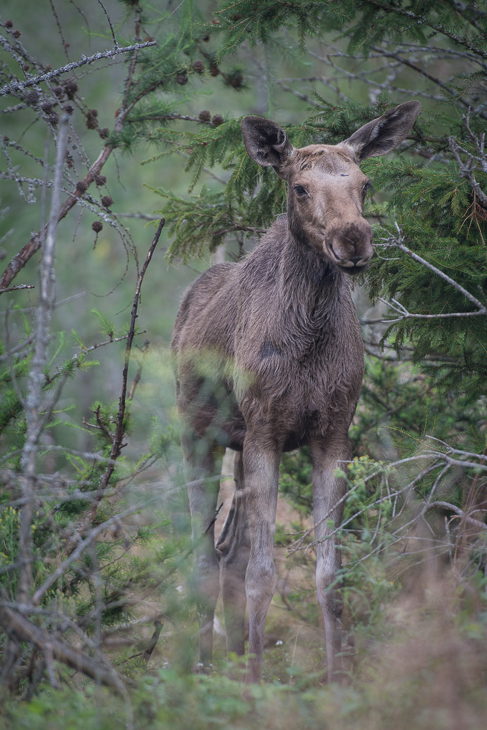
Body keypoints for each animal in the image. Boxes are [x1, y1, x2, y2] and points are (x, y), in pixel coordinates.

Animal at [172, 99, 420, 680]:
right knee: (205, 558)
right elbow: (264, 574)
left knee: (229, 553)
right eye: (301, 187)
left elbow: (329, 574)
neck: (308, 334)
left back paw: (231, 661)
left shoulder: (332, 434)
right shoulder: (266, 431)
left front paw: (338, 681)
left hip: (237, 446)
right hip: (199, 435)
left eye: (365, 182)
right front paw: (257, 686)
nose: (354, 240)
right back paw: (205, 671)